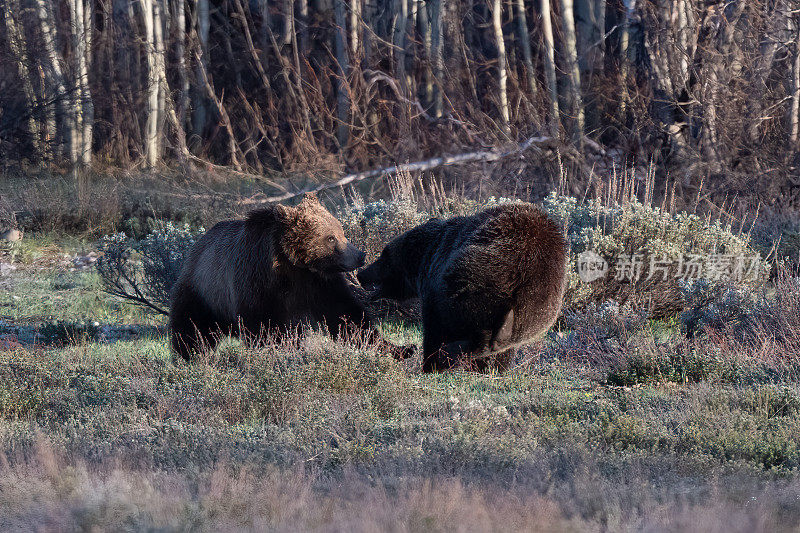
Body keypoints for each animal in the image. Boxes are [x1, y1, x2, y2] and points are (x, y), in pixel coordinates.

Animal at [170, 193, 406, 360]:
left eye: (341, 231)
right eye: (330, 238)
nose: (360, 255)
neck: (293, 265)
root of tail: (197, 244)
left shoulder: (319, 283)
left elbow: (346, 315)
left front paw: (399, 348)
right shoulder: (258, 282)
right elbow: (266, 328)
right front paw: (284, 351)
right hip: (203, 290)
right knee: (191, 327)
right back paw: (190, 355)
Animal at [356, 202, 568, 372]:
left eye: (384, 256)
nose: (361, 274)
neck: (427, 257)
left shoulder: (434, 288)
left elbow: (434, 329)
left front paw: (430, 364)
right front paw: (493, 370)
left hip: (479, 281)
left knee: (476, 329)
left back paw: (451, 354)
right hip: (537, 307)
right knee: (507, 339)